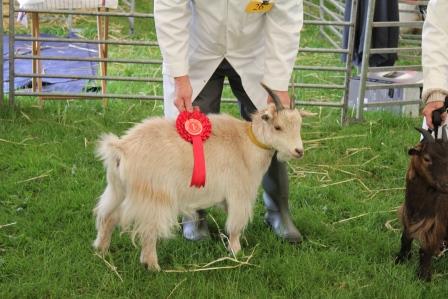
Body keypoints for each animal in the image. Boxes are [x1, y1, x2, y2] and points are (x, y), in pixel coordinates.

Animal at [93, 85, 314, 272]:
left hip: (118, 189)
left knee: (108, 216)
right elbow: (235, 225)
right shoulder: (239, 193)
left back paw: (101, 251)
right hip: (154, 196)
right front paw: (237, 253)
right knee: (148, 230)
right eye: (277, 127)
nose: (299, 151)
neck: (246, 144)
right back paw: (153, 266)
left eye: (300, 125)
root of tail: (121, 148)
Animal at [396, 127, 448, 282]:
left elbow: (425, 250)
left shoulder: (435, 224)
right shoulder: (408, 216)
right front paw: (401, 259)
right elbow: (405, 239)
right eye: (426, 158)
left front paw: (424, 276)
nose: (447, 185)